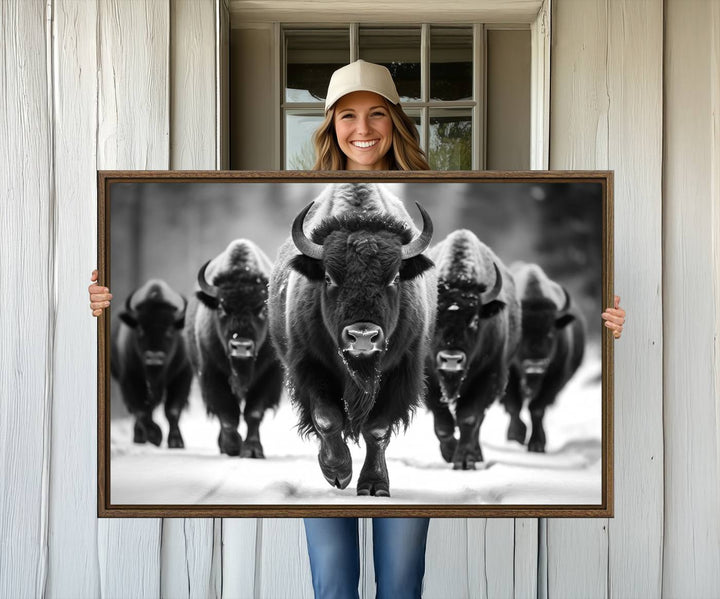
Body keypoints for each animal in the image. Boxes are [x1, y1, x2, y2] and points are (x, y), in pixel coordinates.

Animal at [111, 278, 193, 448]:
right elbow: (141, 410)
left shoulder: (182, 375)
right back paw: (140, 437)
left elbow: (172, 410)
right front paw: (155, 435)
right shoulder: (130, 378)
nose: (154, 358)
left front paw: (176, 442)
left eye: (170, 330)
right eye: (140, 329)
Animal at [186, 239, 284, 460]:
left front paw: (253, 450)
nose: (241, 346)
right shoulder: (212, 374)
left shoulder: (268, 375)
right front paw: (232, 447)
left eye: (262, 309)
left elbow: (253, 413)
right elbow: (228, 414)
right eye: (222, 308)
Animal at [268, 183, 434, 496]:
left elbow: (377, 430)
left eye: (394, 278)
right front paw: (338, 472)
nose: (363, 336)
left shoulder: (400, 372)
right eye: (329, 278)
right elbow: (326, 418)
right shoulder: (310, 366)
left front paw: (374, 485)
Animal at [424, 230, 520, 468]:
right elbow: (443, 424)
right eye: (435, 317)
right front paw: (450, 453)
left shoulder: (487, 376)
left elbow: (469, 418)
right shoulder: (430, 380)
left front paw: (465, 460)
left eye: (475, 320)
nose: (451, 359)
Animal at [500, 264, 584, 452]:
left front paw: (537, 444)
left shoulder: (554, 378)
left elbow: (537, 409)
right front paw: (516, 435)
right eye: (521, 333)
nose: (535, 365)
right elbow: (514, 405)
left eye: (550, 333)